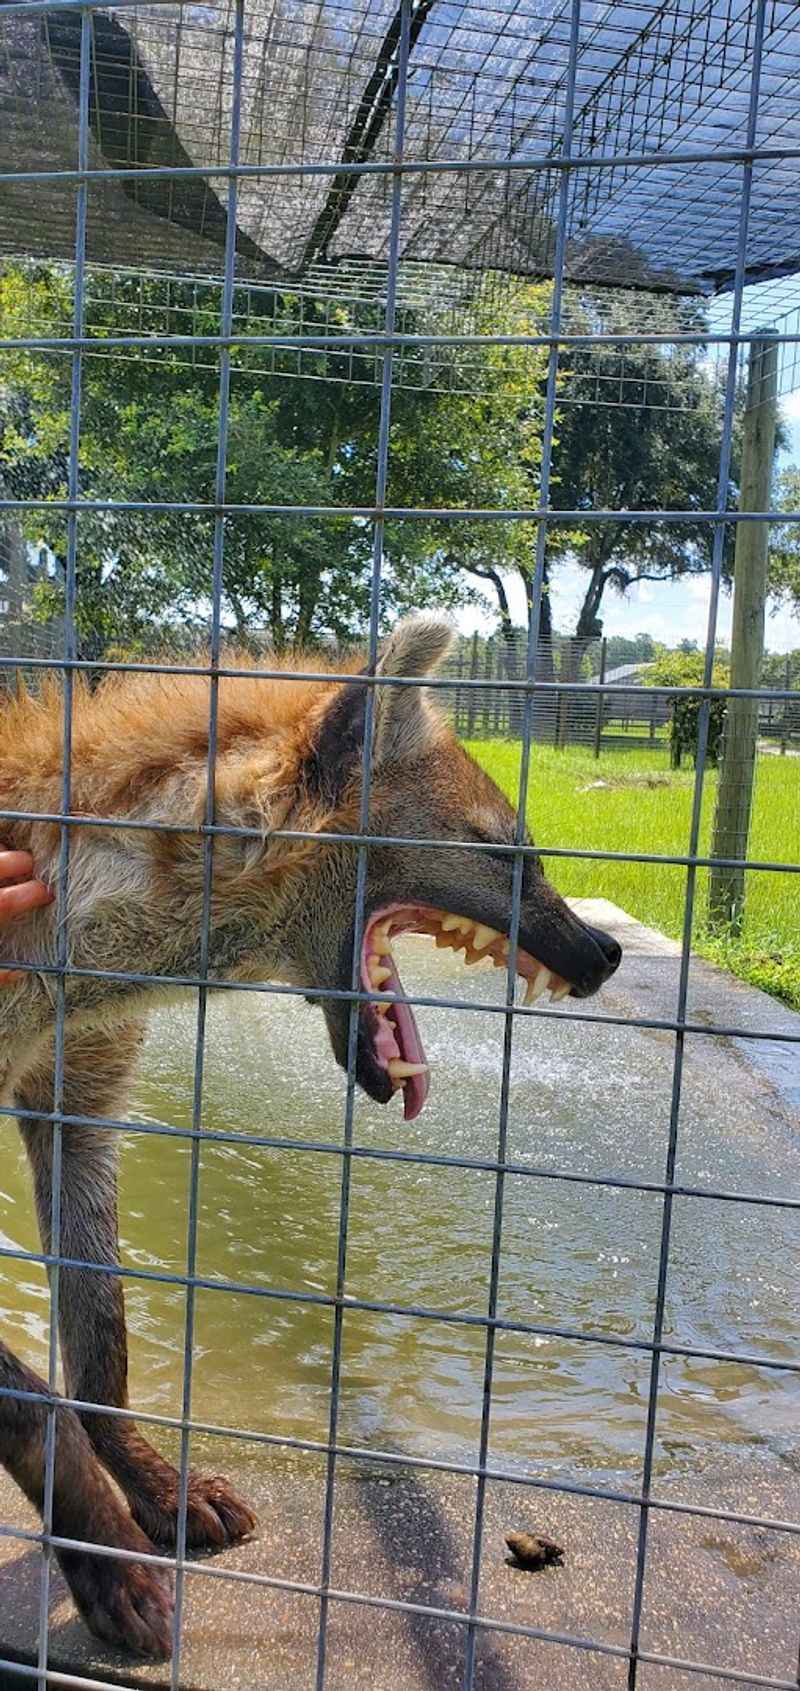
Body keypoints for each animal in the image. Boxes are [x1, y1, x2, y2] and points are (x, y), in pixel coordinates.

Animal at [0, 613, 620, 1658]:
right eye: (504, 850)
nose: (606, 950)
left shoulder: (76, 1090)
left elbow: (101, 1332)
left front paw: (169, 1492)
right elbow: (26, 1389)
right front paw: (116, 1569)